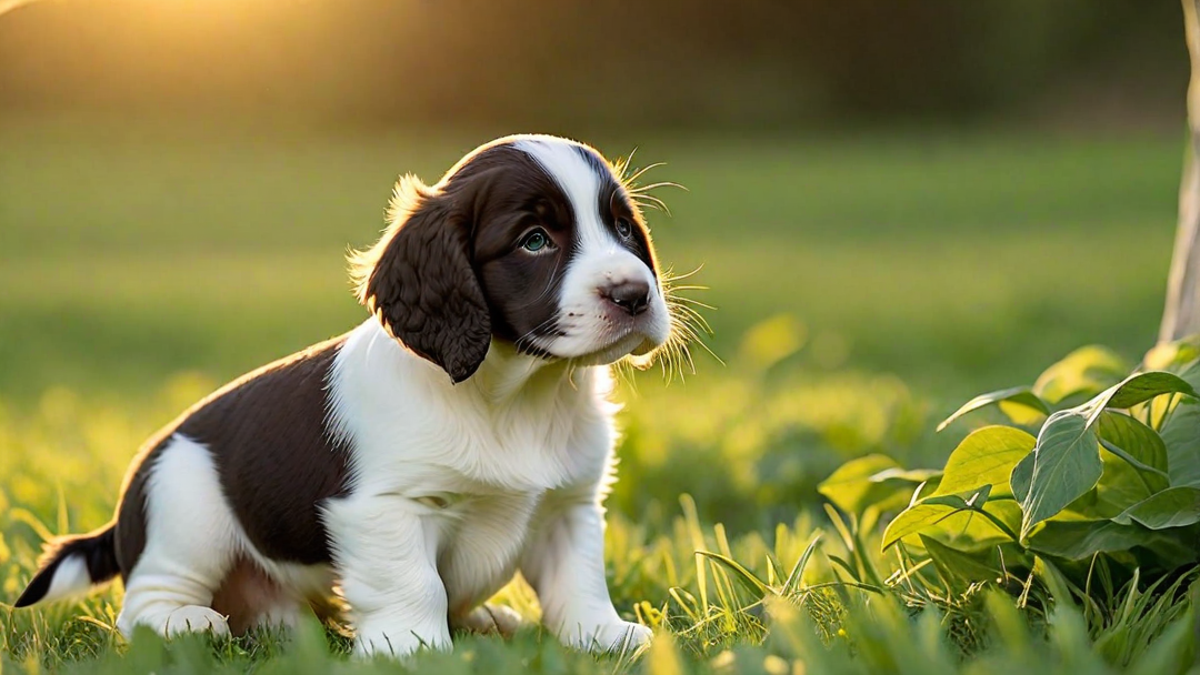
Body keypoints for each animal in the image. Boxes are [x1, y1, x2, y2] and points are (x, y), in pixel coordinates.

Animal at [14, 133, 676, 653]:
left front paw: (604, 637)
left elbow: (579, 581)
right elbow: (413, 582)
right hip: (185, 502)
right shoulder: (384, 507)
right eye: (534, 240)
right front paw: (412, 647)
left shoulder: (569, 507)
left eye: (622, 228)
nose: (634, 294)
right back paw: (185, 624)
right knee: (147, 600)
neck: (518, 395)